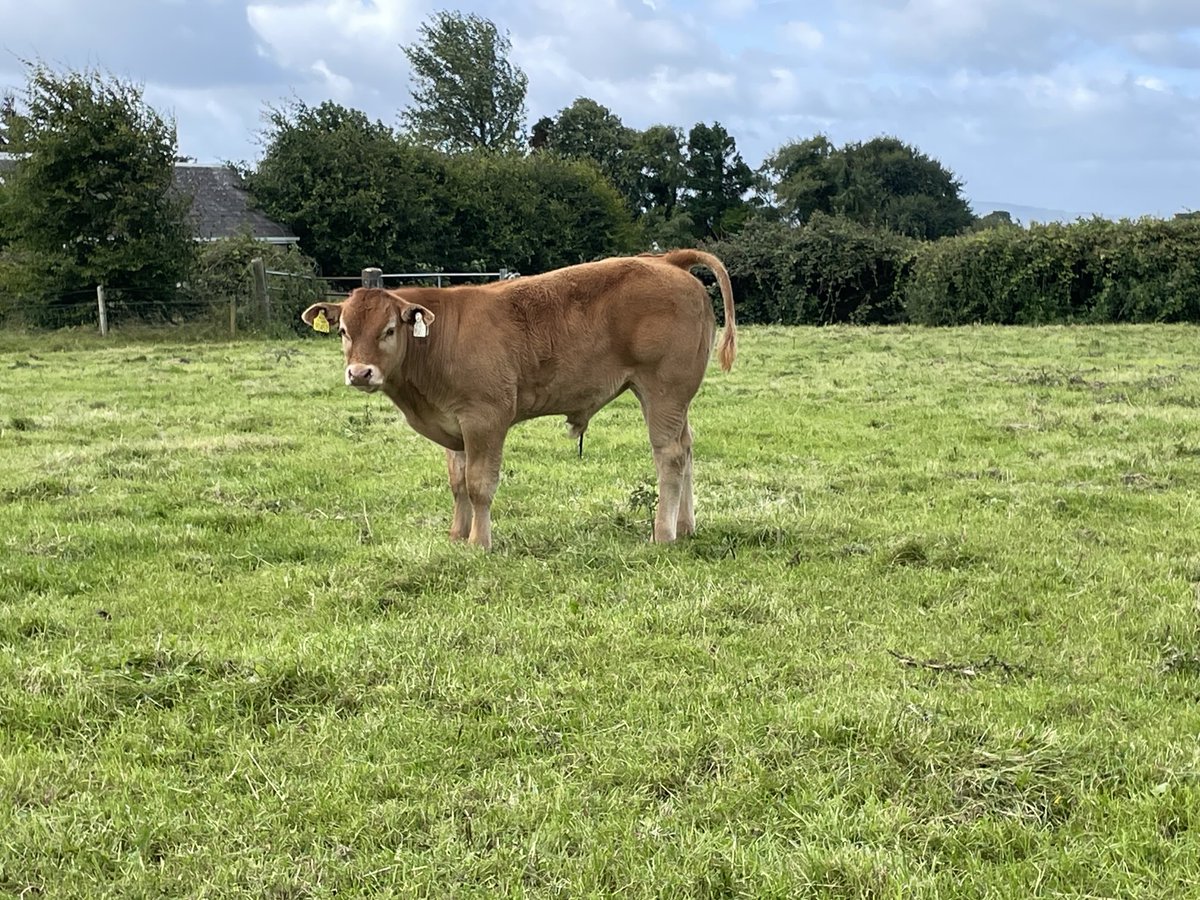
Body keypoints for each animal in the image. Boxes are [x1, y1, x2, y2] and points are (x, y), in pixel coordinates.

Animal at [301, 250, 736, 550]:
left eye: (389, 329)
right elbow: (457, 483)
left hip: (663, 390)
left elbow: (479, 484)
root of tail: (667, 260)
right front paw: (457, 535)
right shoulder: (454, 426)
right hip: (675, 400)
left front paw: (480, 542)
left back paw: (663, 533)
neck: (438, 342)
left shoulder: (484, 419)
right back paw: (685, 526)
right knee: (687, 449)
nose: (360, 373)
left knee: (670, 456)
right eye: (343, 330)